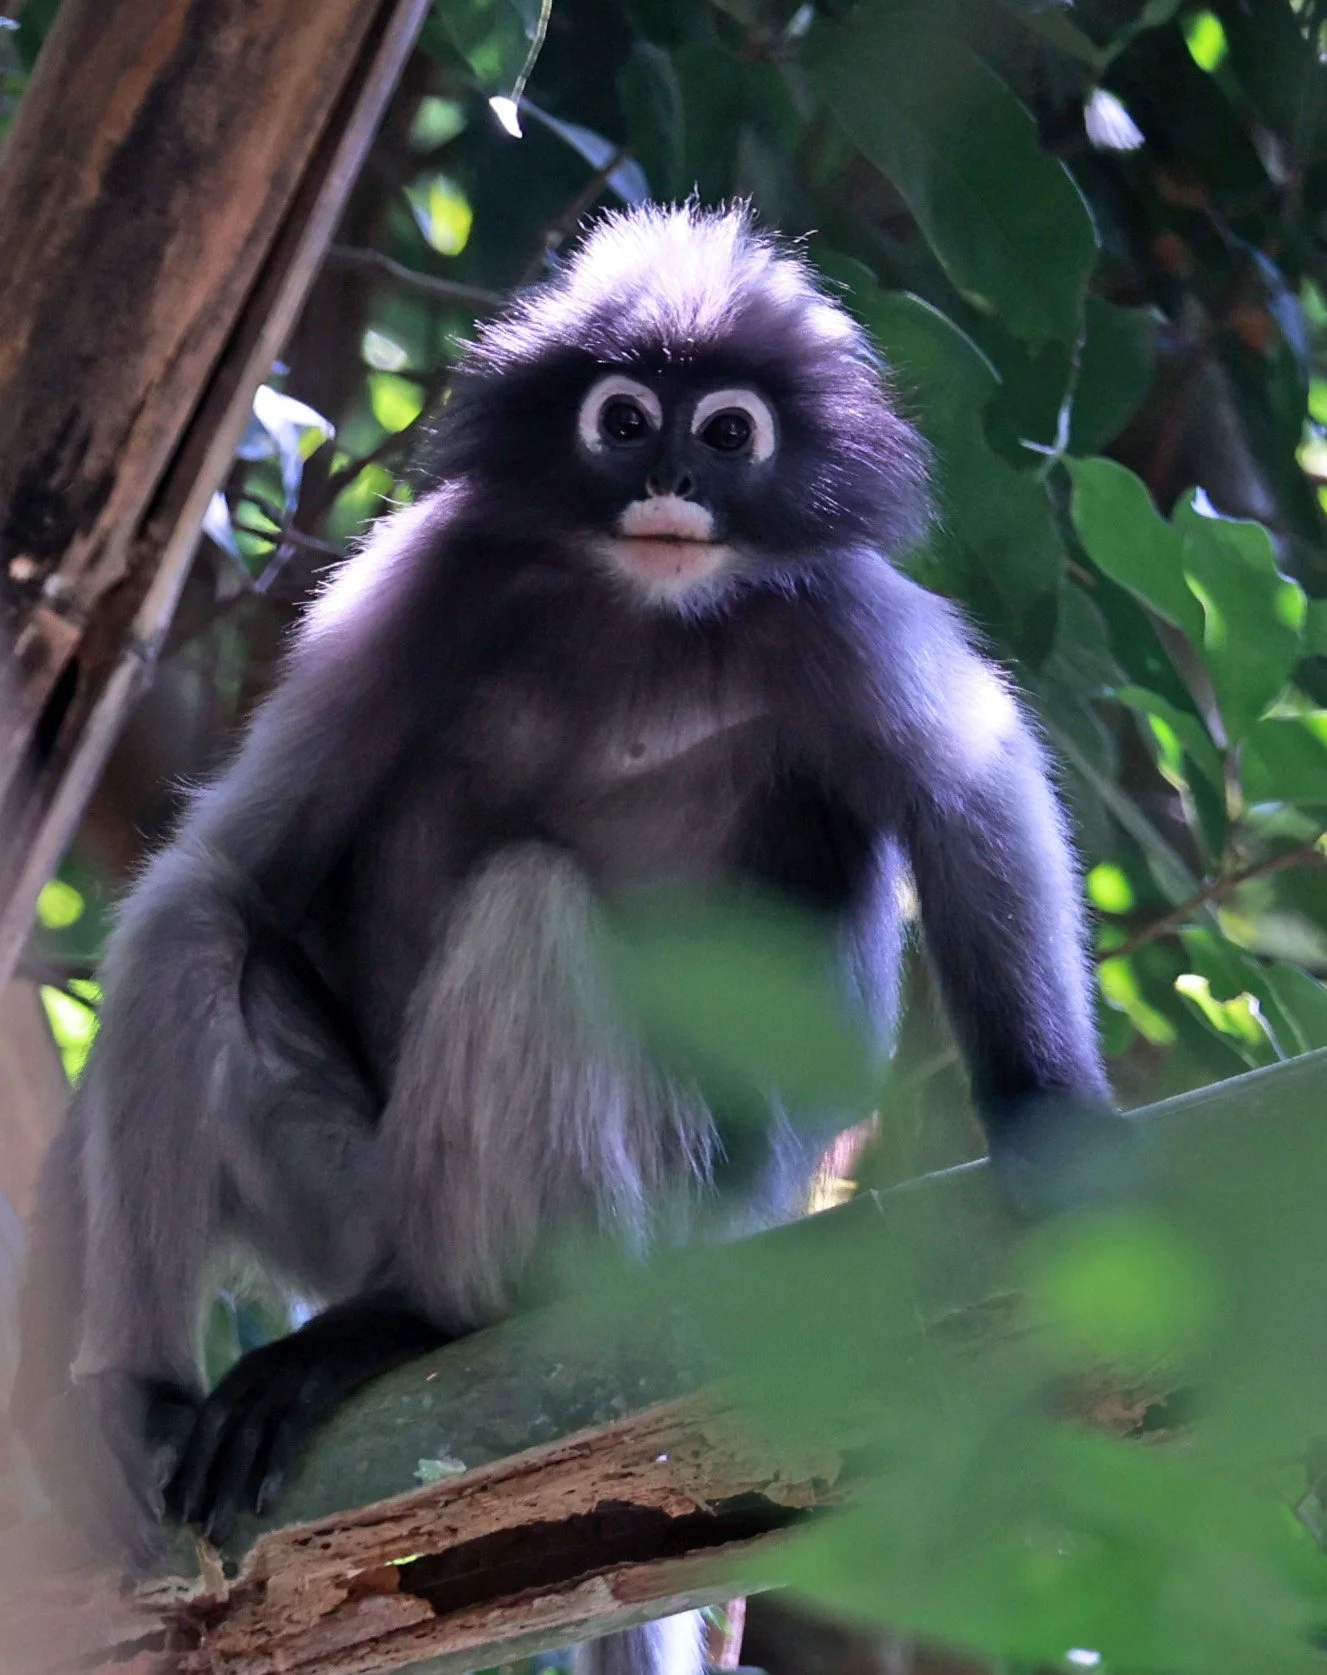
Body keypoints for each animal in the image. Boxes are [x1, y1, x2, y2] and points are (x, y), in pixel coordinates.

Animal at [12, 205, 1112, 1668]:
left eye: (727, 433)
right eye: (623, 418)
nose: (669, 476)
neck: (641, 610)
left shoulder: (844, 614)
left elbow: (972, 796)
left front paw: (1050, 1117)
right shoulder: (428, 577)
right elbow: (229, 875)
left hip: (654, 1204)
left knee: (524, 902)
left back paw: (432, 1316)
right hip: (352, 1191)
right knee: (201, 933)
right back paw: (146, 1397)